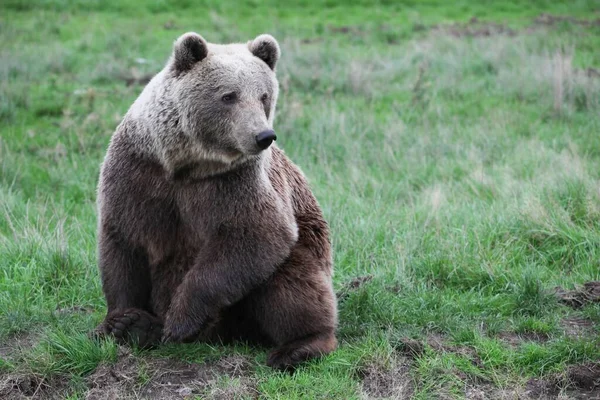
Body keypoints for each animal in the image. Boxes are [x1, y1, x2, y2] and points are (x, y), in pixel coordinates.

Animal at [94, 31, 338, 368]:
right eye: (229, 96)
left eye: (264, 96)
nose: (263, 136)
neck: (186, 165)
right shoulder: (137, 172)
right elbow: (123, 241)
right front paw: (122, 320)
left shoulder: (233, 182)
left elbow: (255, 233)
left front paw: (180, 320)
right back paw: (143, 326)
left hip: (305, 253)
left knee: (292, 282)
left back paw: (299, 346)